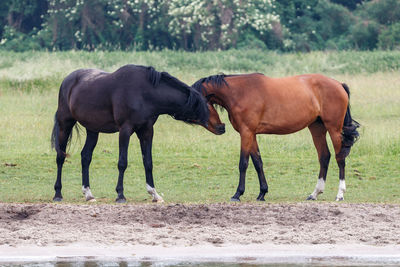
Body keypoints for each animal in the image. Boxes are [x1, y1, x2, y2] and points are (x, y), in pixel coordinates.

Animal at [50, 65, 209, 203]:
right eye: (201, 106)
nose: (212, 123)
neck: (144, 93)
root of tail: (67, 80)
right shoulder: (125, 130)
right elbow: (122, 162)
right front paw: (120, 195)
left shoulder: (147, 131)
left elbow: (148, 162)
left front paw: (154, 194)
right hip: (65, 125)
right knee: (60, 157)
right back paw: (58, 193)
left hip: (93, 130)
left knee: (85, 157)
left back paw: (88, 194)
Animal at [194, 72, 360, 202]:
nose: (220, 128)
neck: (240, 93)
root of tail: (339, 84)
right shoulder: (251, 134)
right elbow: (258, 163)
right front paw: (262, 193)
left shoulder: (246, 133)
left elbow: (243, 163)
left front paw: (237, 194)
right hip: (317, 128)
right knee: (324, 157)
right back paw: (314, 193)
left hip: (334, 129)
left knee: (340, 158)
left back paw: (340, 194)